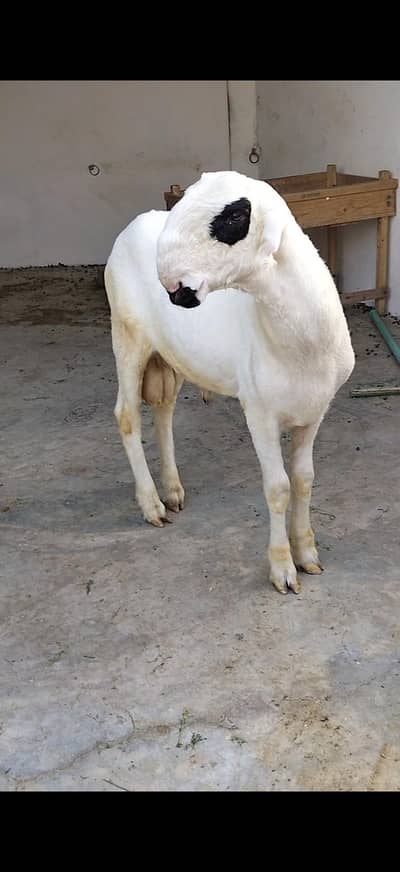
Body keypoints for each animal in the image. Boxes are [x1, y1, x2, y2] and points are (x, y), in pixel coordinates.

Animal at [105, 170, 355, 594]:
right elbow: (278, 488)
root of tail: (135, 222)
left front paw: (307, 554)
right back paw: (152, 504)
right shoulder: (259, 411)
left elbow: (304, 480)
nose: (169, 281)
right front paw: (283, 569)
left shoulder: (315, 411)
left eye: (236, 215)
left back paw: (172, 489)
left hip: (171, 353)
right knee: (127, 415)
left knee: (164, 410)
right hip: (127, 334)